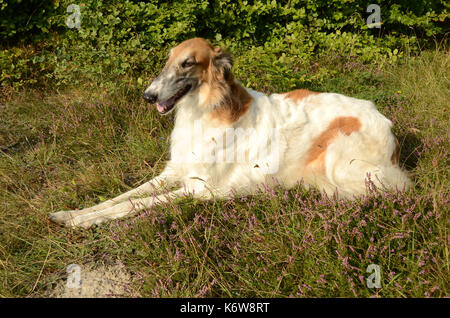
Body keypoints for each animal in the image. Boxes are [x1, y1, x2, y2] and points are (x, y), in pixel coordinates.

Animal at [50, 38, 412, 229]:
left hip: (340, 158)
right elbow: (121, 197)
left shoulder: (197, 188)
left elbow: (134, 205)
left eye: (188, 63)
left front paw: (82, 221)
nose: (148, 96)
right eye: (167, 60)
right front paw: (72, 213)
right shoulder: (175, 171)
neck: (205, 112)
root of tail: (388, 124)